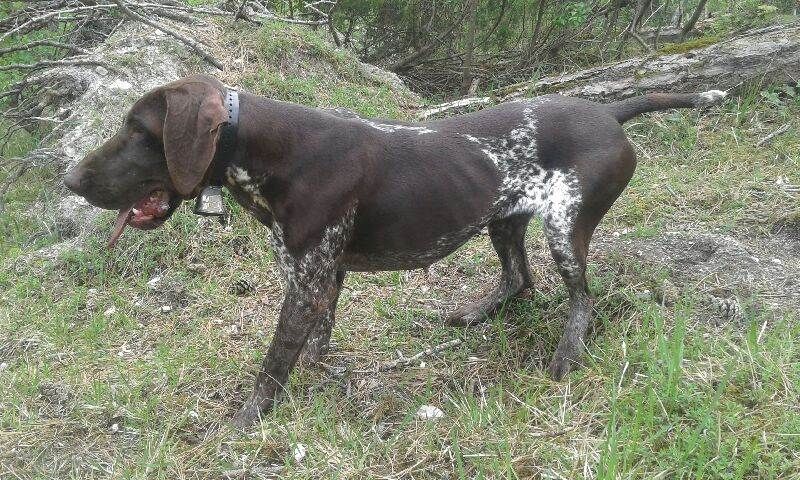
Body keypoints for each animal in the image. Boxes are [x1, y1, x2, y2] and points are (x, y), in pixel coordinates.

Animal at [62, 73, 724, 426]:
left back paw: (567, 351)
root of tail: (608, 111)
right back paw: (478, 312)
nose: (69, 179)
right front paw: (318, 379)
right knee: (519, 281)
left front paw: (247, 419)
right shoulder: (321, 277)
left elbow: (273, 363)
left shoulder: (307, 280)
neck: (268, 151)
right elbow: (314, 344)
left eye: (139, 131)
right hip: (502, 220)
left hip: (565, 226)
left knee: (581, 296)